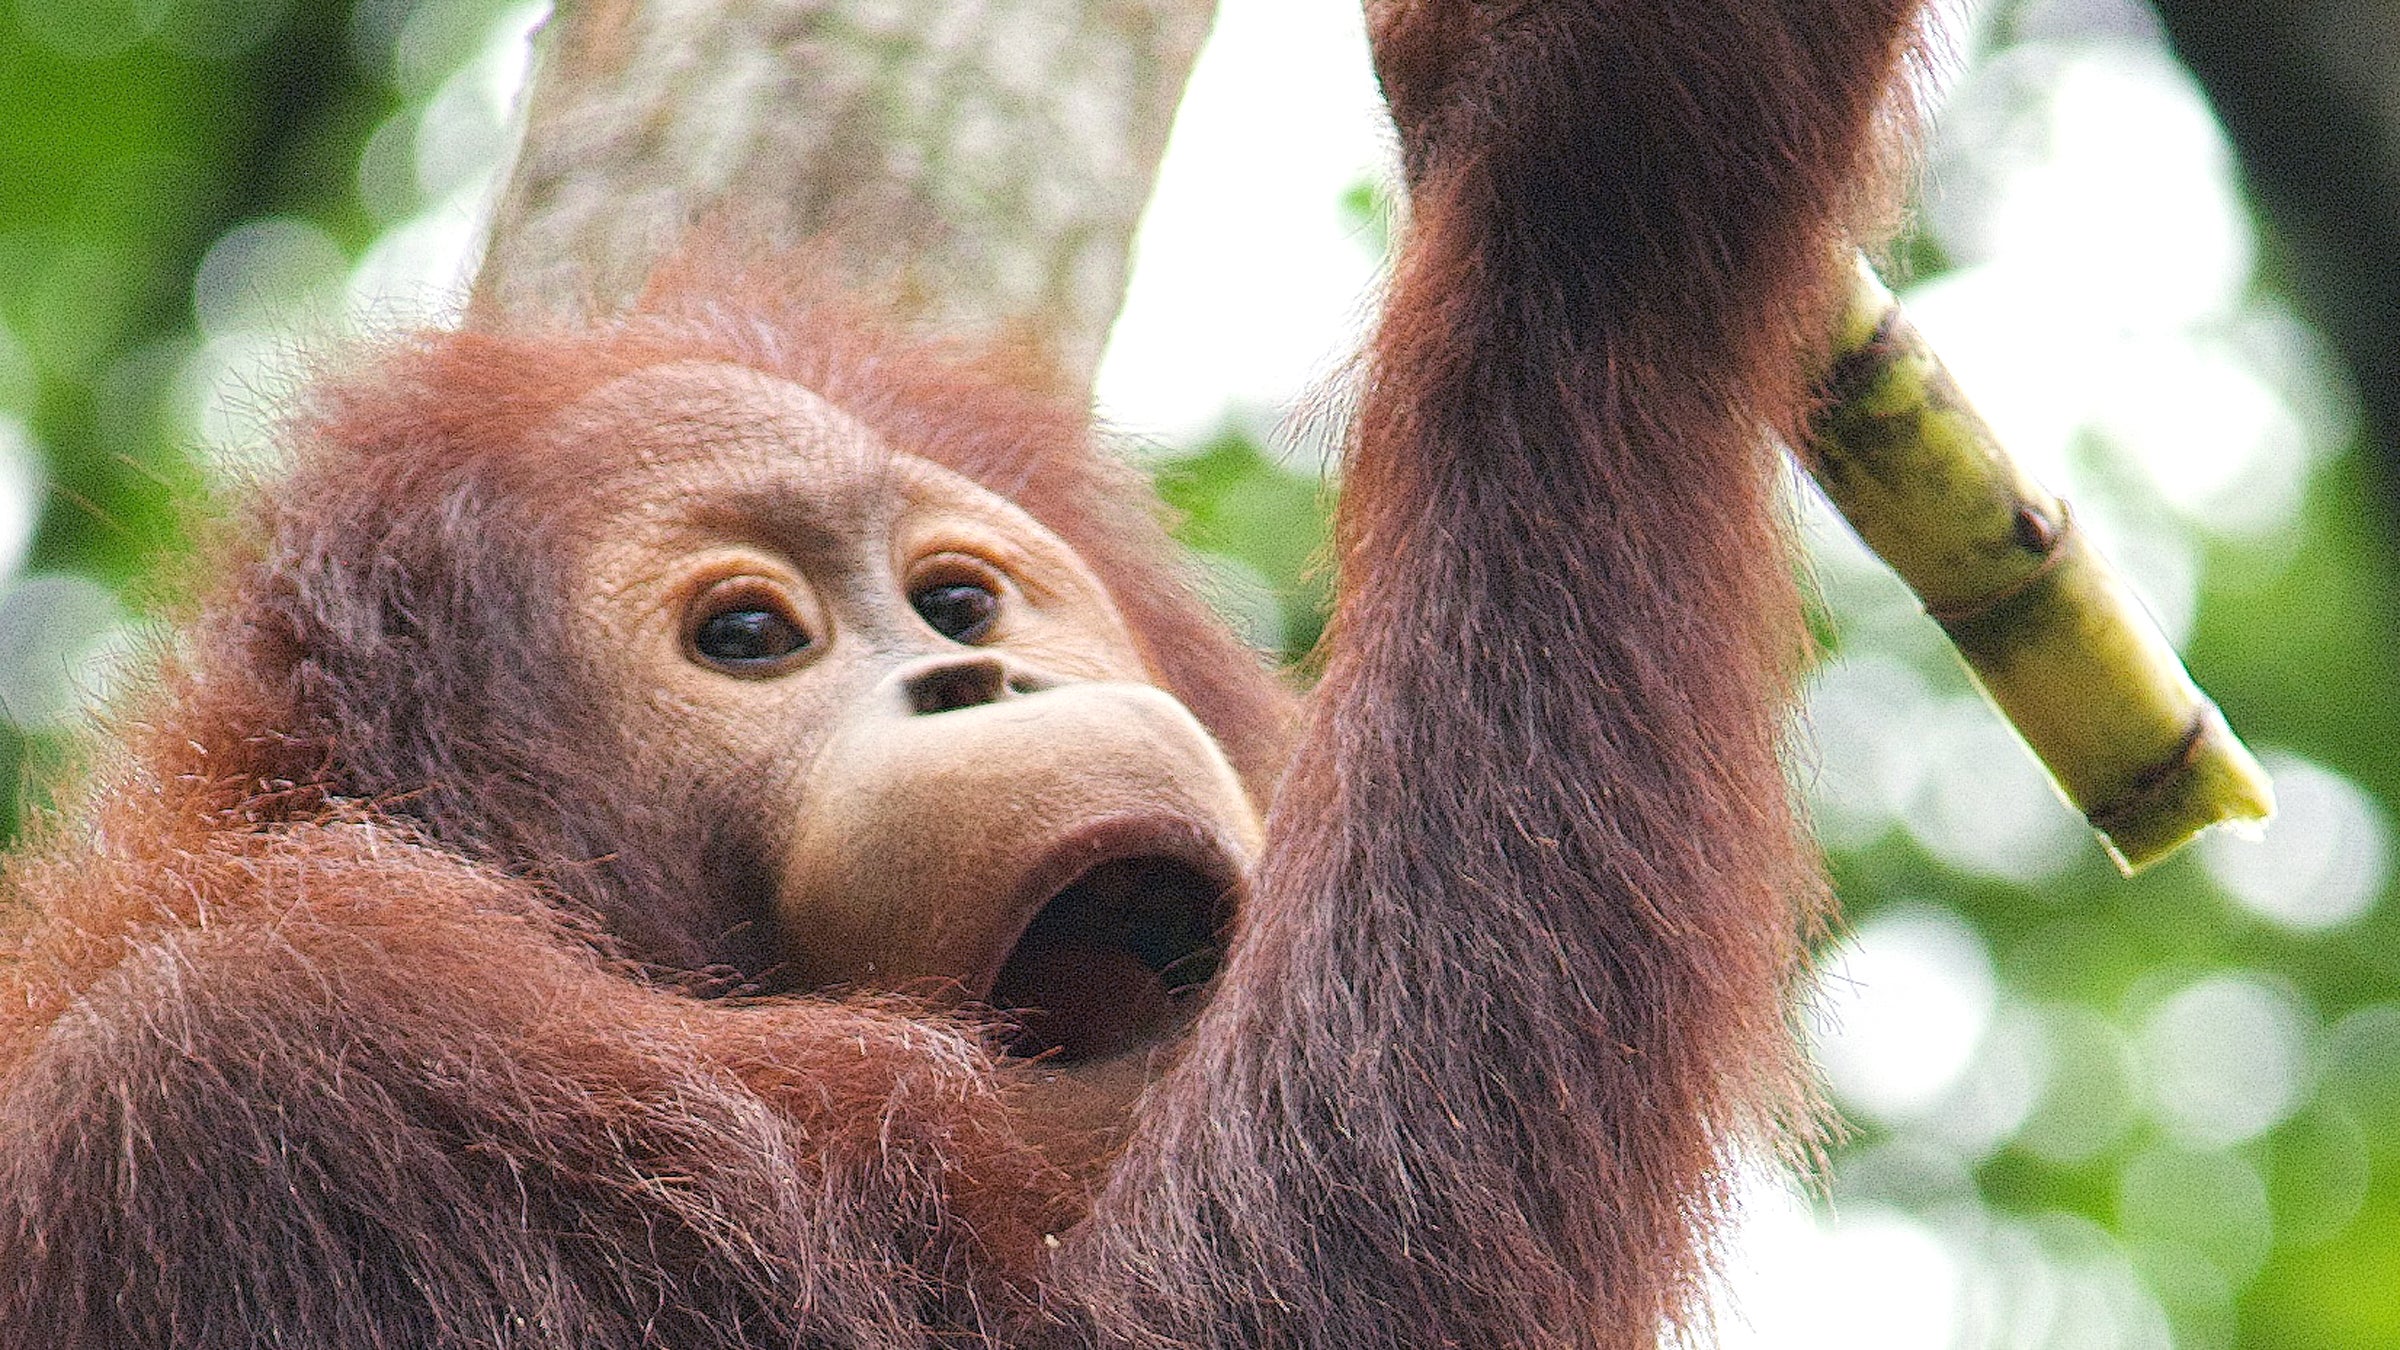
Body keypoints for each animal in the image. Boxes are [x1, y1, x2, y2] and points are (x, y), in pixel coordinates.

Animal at [0, 2, 1926, 1346]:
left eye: (959, 602)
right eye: (750, 638)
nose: (974, 687)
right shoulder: (272, 1074)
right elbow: (1215, 1315)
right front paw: (1599, 132)